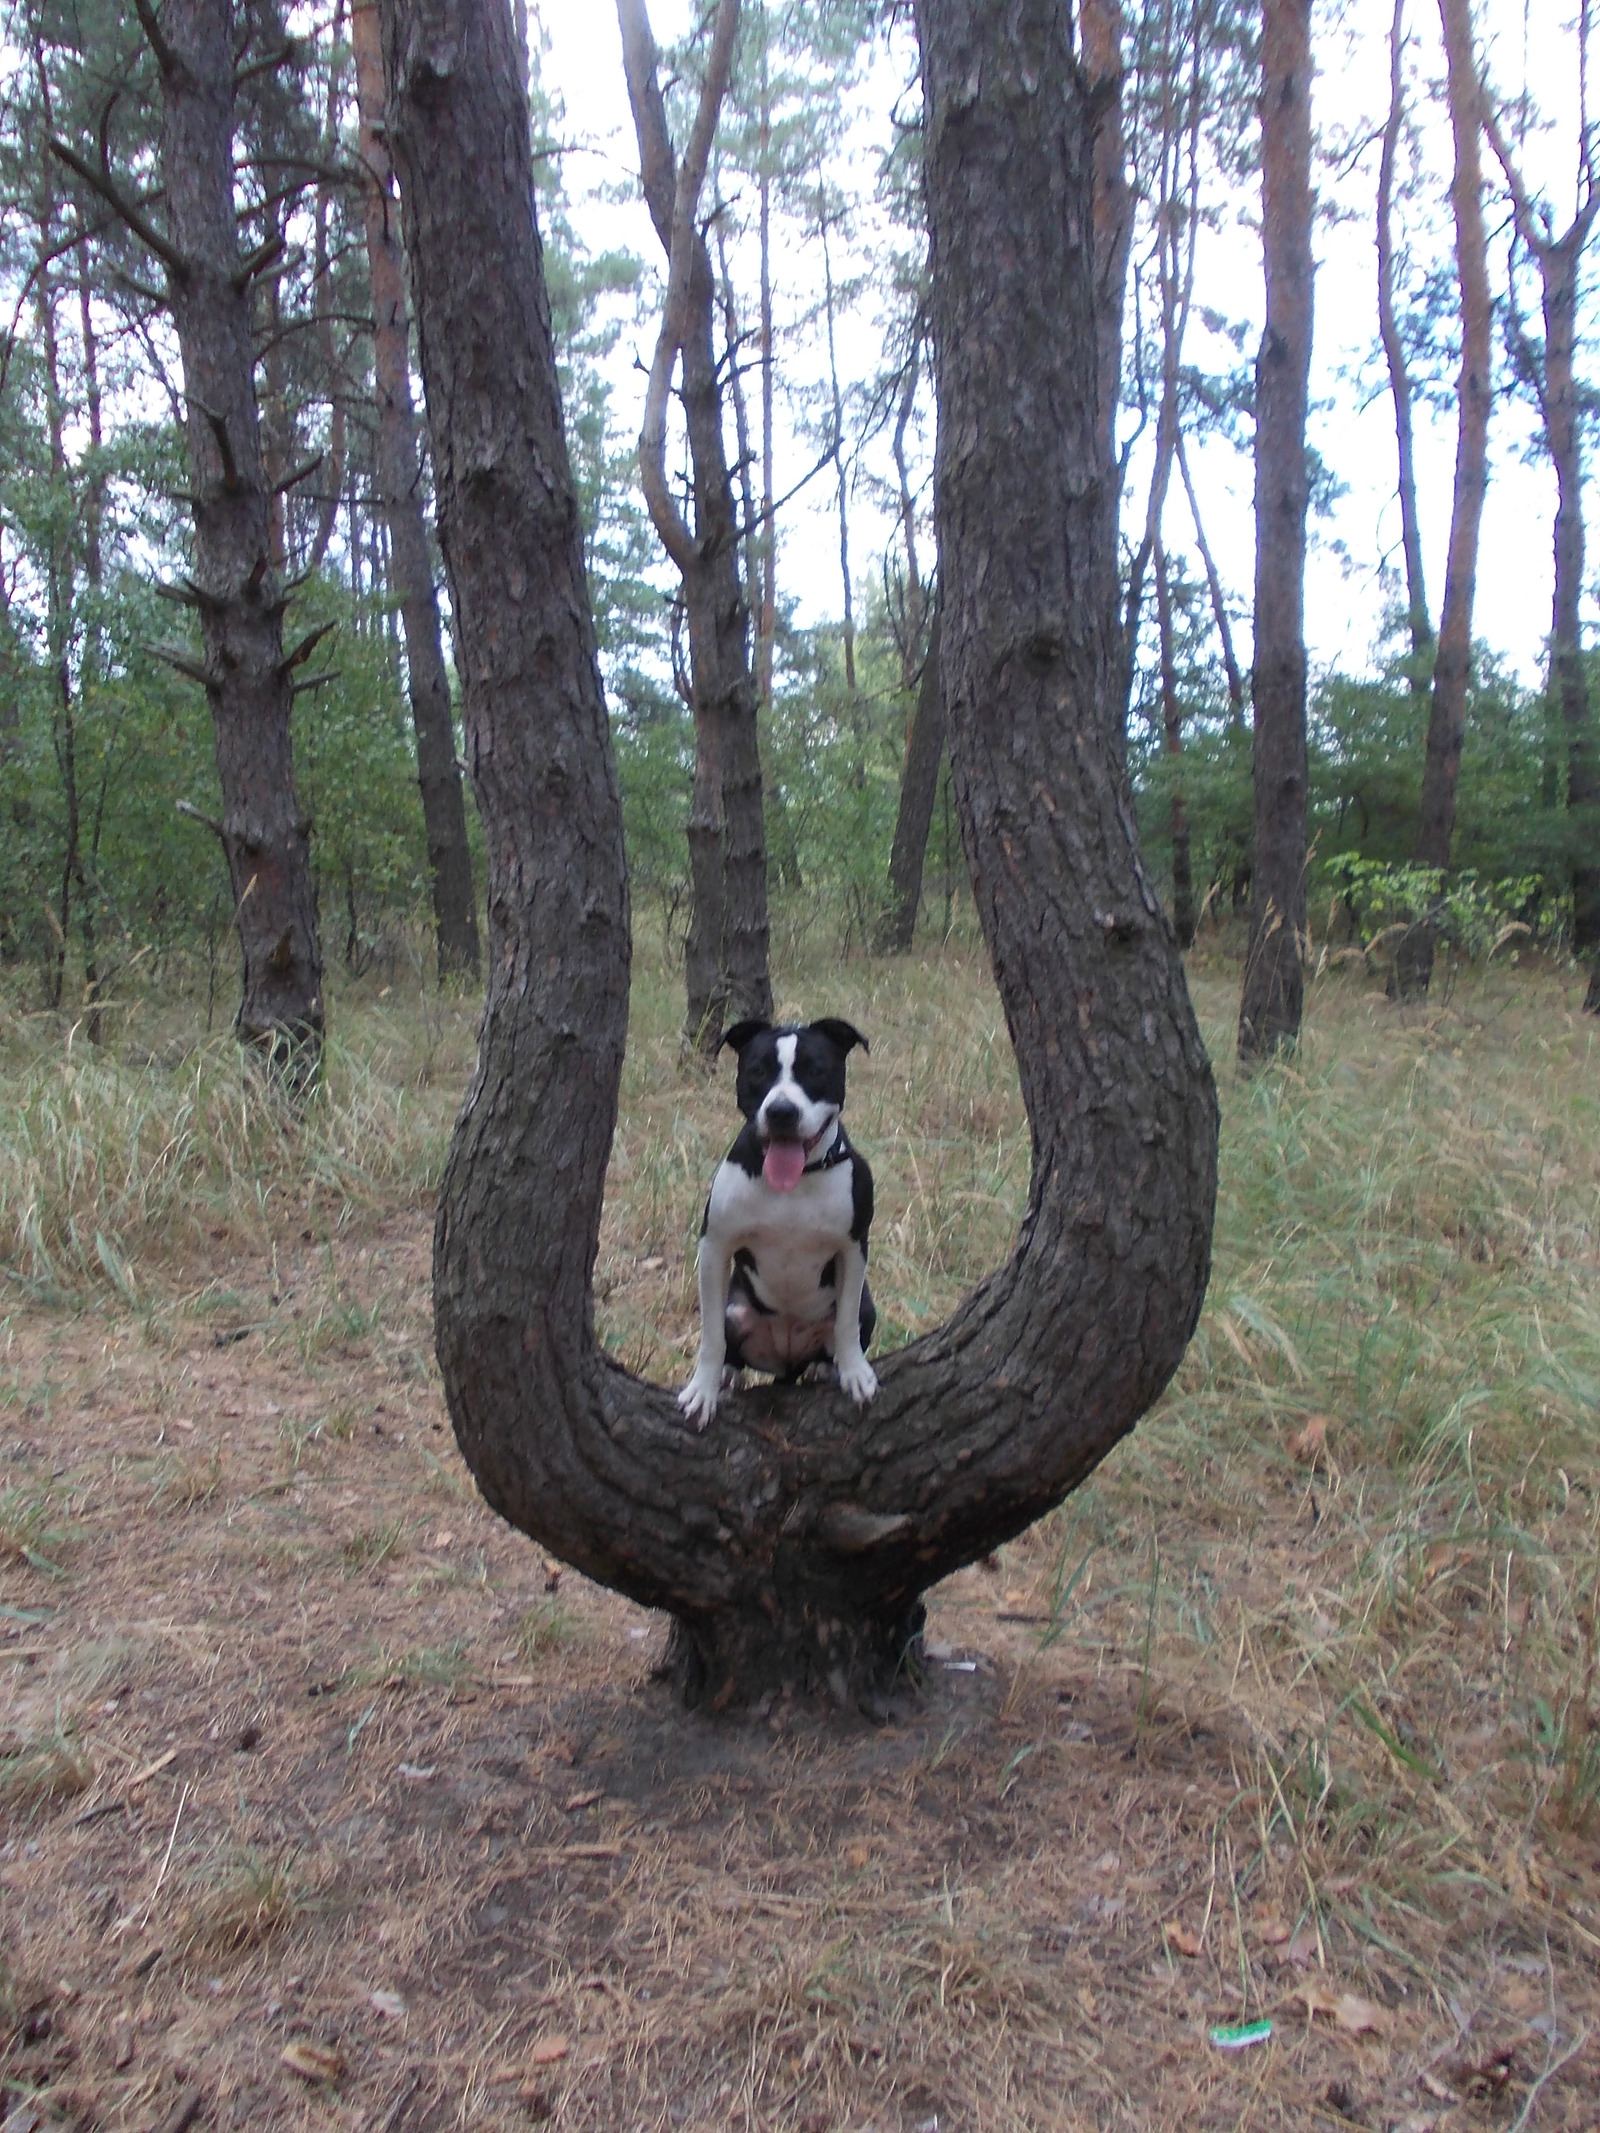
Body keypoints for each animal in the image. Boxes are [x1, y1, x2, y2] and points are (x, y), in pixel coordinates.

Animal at [678, 1019, 883, 1433]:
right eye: (758, 1071)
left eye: (815, 1070)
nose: (782, 1111)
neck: (797, 1179)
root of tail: (787, 1362)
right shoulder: (715, 1245)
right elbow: (711, 1336)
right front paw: (702, 1390)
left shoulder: (853, 1247)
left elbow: (847, 1321)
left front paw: (855, 1372)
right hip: (737, 1309)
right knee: (732, 1344)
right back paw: (730, 1374)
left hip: (867, 1308)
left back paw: (823, 1367)